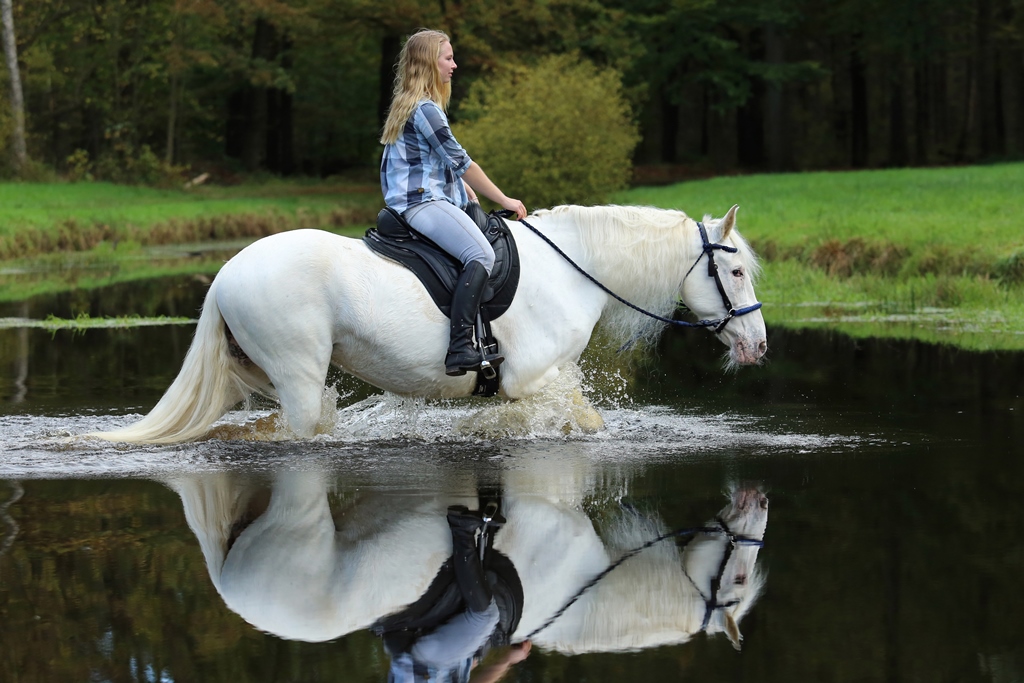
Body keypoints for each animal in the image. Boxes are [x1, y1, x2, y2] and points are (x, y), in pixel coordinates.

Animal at [90, 204, 761, 444]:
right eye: (735, 272)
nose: (757, 345)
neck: (574, 267)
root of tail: (226, 273)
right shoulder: (533, 378)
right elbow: (583, 420)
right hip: (297, 374)